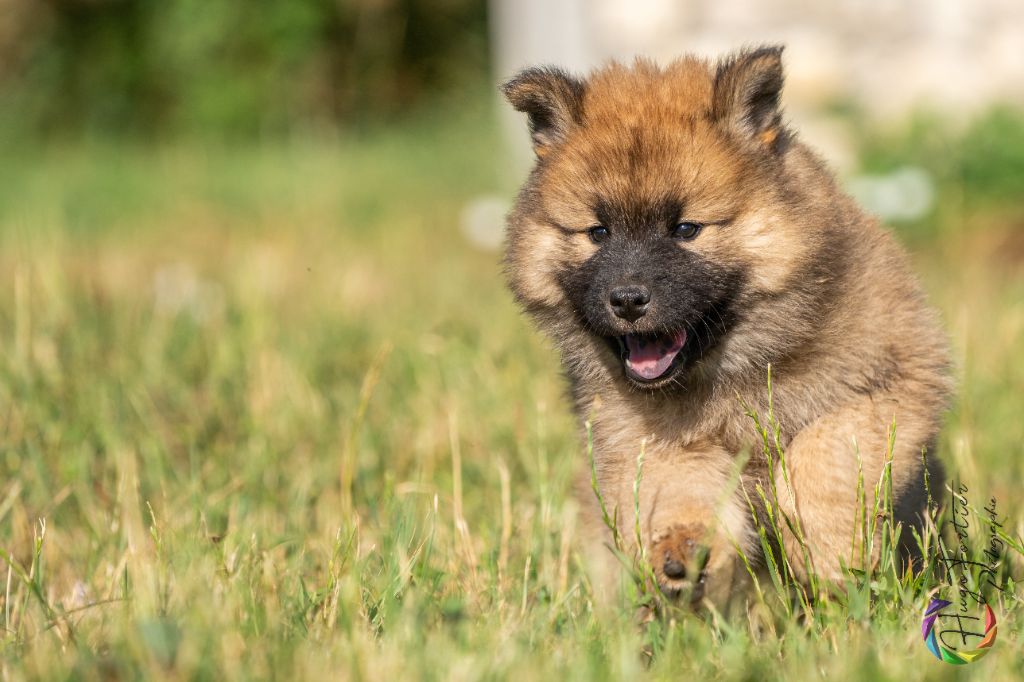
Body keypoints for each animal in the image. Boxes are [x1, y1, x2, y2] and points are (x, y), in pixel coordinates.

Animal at [501, 45, 950, 602]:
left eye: (686, 229)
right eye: (598, 233)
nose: (627, 300)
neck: (736, 373)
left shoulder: (891, 386)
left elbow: (820, 459)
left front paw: (828, 554)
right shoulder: (648, 441)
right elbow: (681, 491)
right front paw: (685, 548)